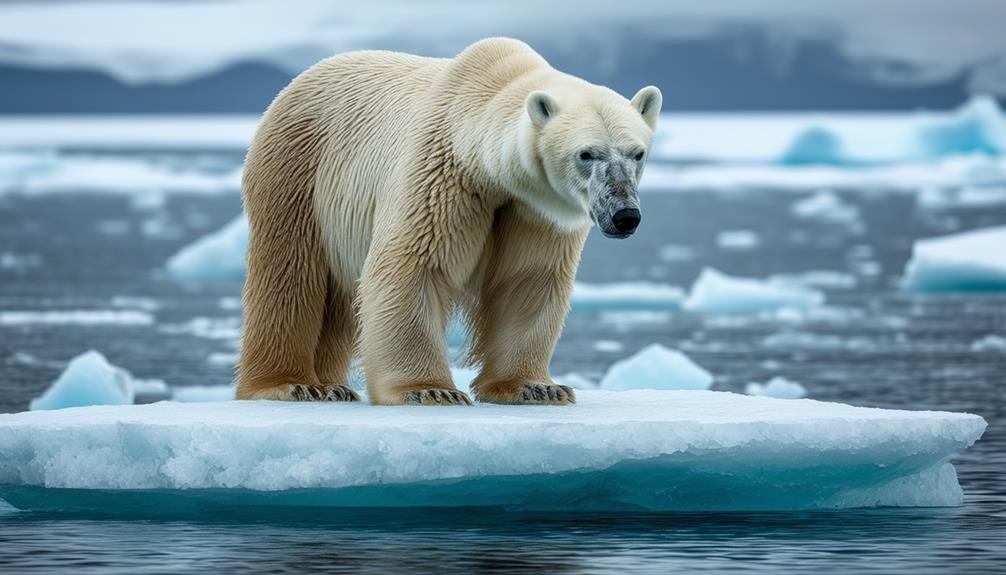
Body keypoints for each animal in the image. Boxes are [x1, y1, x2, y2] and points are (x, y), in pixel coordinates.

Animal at [235, 36, 659, 404]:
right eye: (586, 154)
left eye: (637, 153)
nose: (625, 215)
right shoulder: (442, 172)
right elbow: (413, 264)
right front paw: (429, 390)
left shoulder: (535, 208)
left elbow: (527, 280)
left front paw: (536, 388)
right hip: (298, 170)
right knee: (290, 271)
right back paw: (291, 384)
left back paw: (332, 385)